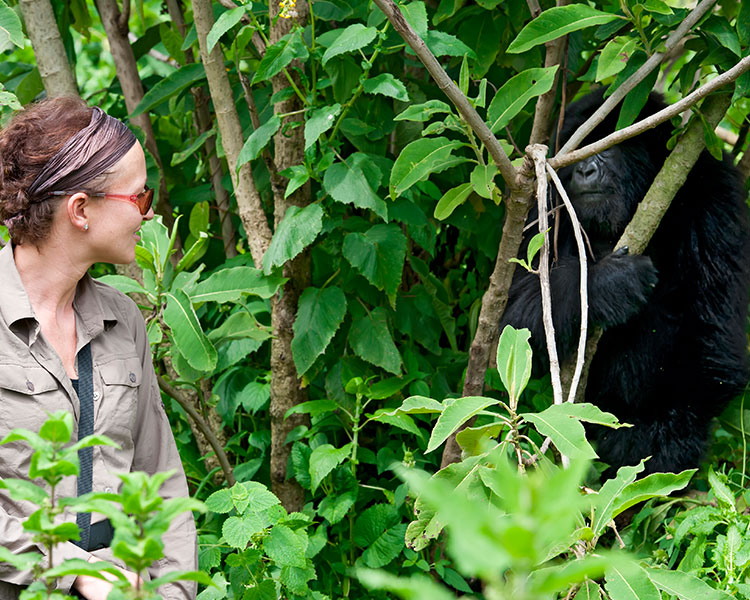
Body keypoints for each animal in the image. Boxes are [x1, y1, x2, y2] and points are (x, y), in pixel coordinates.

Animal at [502, 90, 750, 474]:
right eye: (582, 148)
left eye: (611, 144)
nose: (584, 169)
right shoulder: (542, 198)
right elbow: (518, 314)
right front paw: (609, 283)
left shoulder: (715, 194)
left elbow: (715, 339)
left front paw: (661, 443)